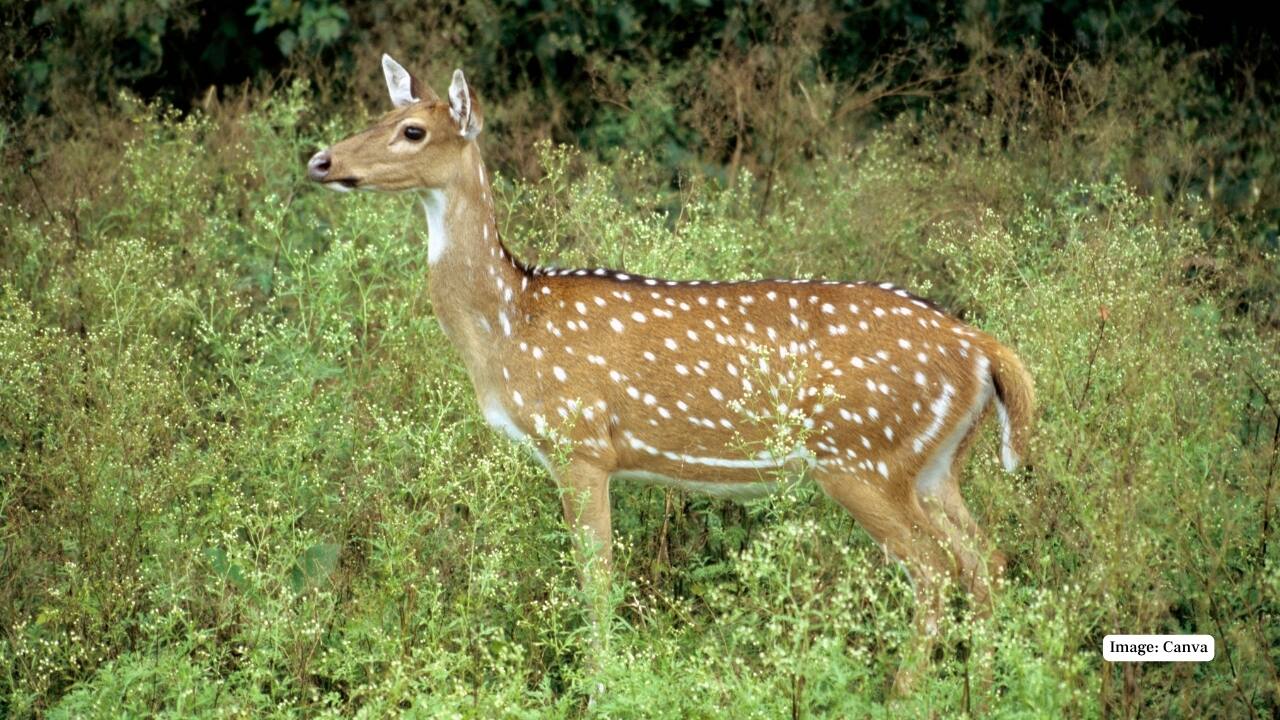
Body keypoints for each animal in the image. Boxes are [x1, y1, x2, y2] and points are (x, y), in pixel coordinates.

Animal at [306, 53, 1035, 695]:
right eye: (379, 112)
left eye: (412, 131)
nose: (320, 160)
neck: (512, 325)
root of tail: (984, 349)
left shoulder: (580, 445)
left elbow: (597, 580)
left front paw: (602, 691)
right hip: (934, 464)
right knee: (988, 562)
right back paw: (981, 689)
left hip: (861, 456)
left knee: (935, 571)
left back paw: (903, 694)